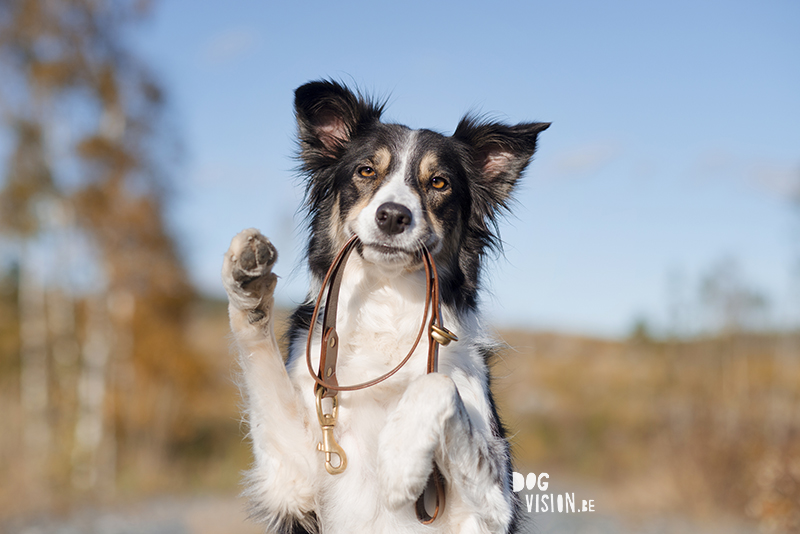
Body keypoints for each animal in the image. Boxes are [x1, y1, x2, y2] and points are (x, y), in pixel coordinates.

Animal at [223, 80, 552, 534]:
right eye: (366, 171)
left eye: (439, 183)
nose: (393, 215)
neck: (385, 296)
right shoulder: (294, 482)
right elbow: (260, 358)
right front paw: (249, 285)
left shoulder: (492, 509)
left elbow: (436, 384)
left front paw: (400, 463)